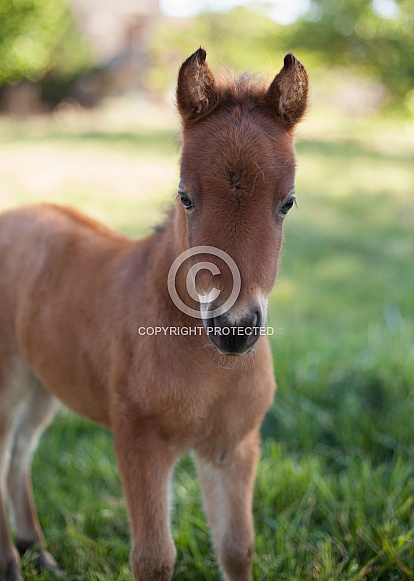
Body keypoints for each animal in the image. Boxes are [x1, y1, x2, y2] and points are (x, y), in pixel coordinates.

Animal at [0, 51, 306, 580]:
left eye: (287, 202)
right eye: (185, 196)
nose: (233, 330)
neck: (210, 365)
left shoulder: (234, 445)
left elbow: (237, 548)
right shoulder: (140, 444)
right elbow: (153, 559)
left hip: (44, 383)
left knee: (20, 452)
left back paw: (35, 549)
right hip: (8, 376)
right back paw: (10, 562)